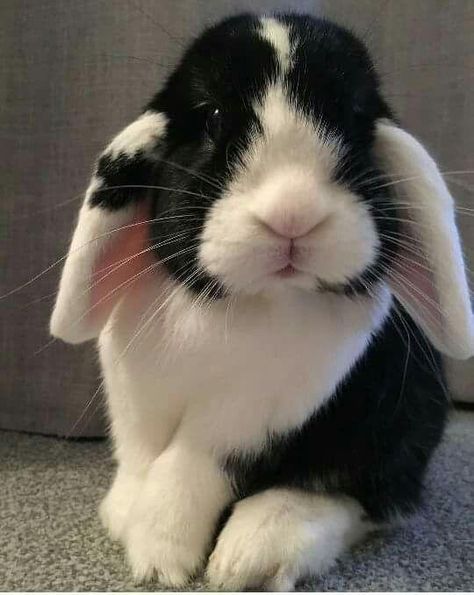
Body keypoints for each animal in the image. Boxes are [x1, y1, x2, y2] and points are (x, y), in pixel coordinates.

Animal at [50, 11, 472, 592]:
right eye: (211, 117)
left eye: (353, 119)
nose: (292, 216)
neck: (239, 305)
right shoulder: (134, 402)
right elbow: (141, 459)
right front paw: (129, 525)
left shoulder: (248, 420)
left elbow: (188, 468)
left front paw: (159, 557)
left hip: (402, 421)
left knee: (366, 493)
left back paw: (254, 552)